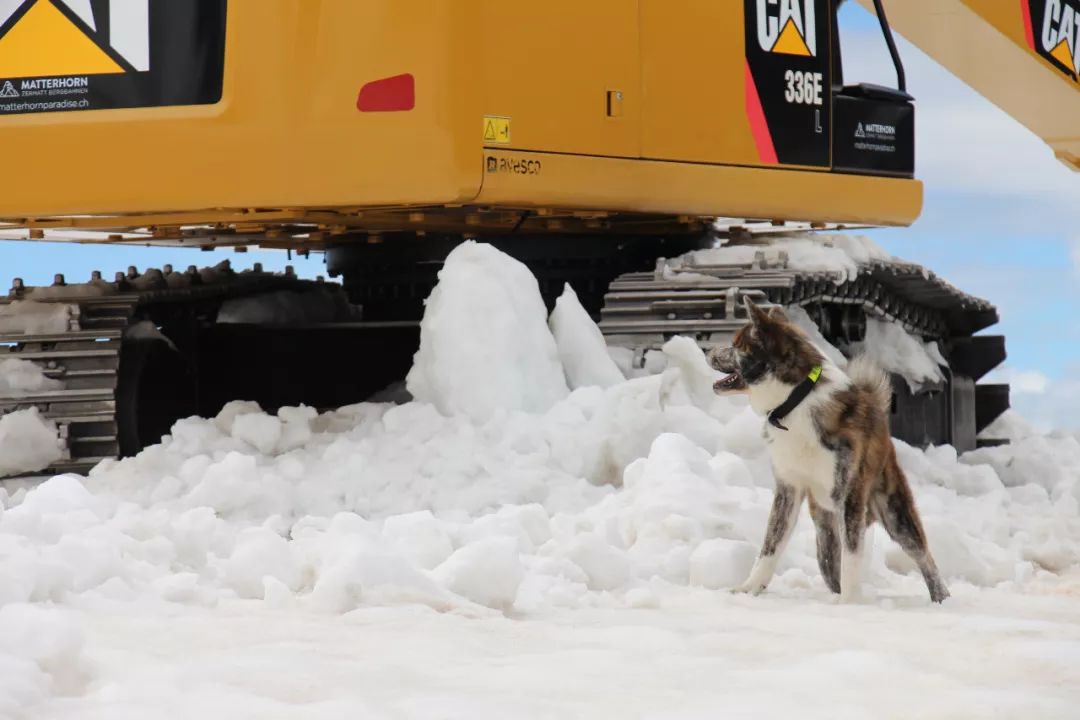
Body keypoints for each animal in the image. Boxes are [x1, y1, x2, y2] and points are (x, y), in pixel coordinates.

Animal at [712, 297, 950, 604]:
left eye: (735, 344)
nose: (710, 351)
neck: (795, 401)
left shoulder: (850, 496)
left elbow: (852, 557)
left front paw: (849, 604)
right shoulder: (788, 490)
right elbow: (770, 546)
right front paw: (749, 587)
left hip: (895, 512)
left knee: (924, 558)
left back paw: (940, 599)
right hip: (824, 528)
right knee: (829, 565)